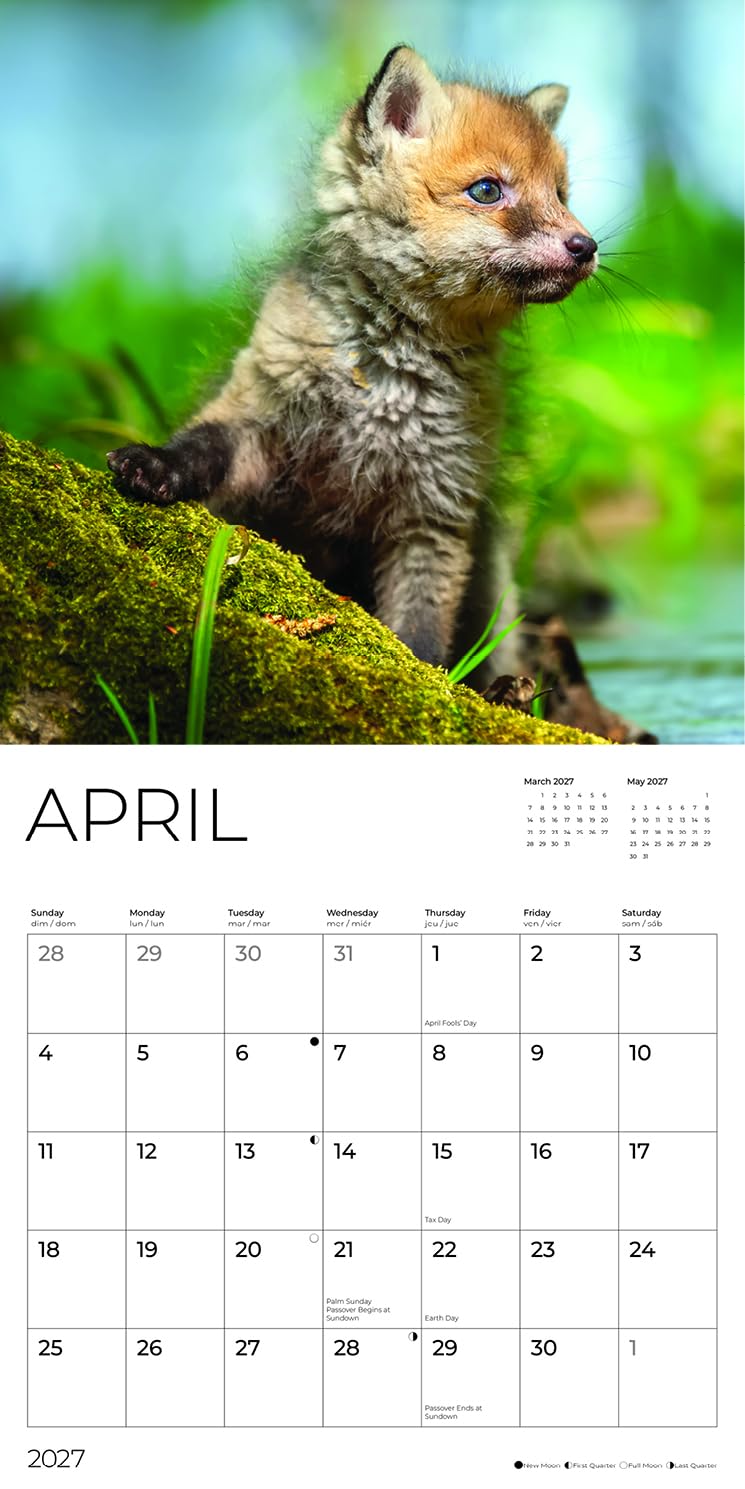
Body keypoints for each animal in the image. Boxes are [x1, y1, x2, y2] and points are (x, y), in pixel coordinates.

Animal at [108, 46, 601, 691]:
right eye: (487, 190)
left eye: (562, 193)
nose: (586, 246)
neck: (383, 379)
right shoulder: (258, 414)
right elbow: (199, 444)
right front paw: (153, 465)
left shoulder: (434, 509)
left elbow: (418, 632)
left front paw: (425, 684)